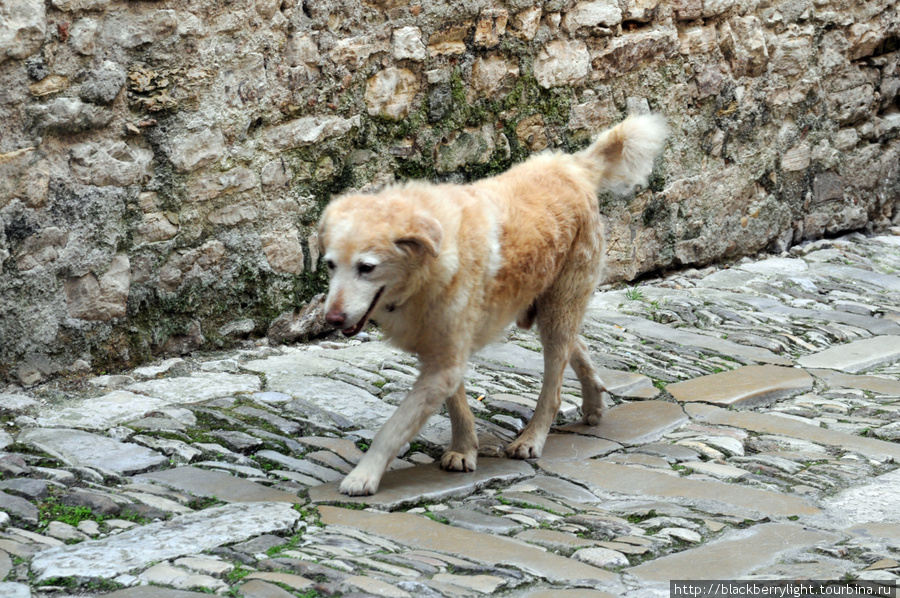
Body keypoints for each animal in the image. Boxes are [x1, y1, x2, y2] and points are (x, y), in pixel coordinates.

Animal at [320, 113, 664, 496]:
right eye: (330, 265)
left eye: (366, 268)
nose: (332, 318)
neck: (425, 271)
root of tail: (572, 166)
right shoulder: (442, 352)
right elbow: (458, 407)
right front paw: (464, 450)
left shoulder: (444, 361)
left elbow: (395, 425)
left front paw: (363, 475)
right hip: (550, 309)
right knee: (580, 346)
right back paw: (594, 403)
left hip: (557, 312)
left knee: (554, 386)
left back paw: (532, 439)